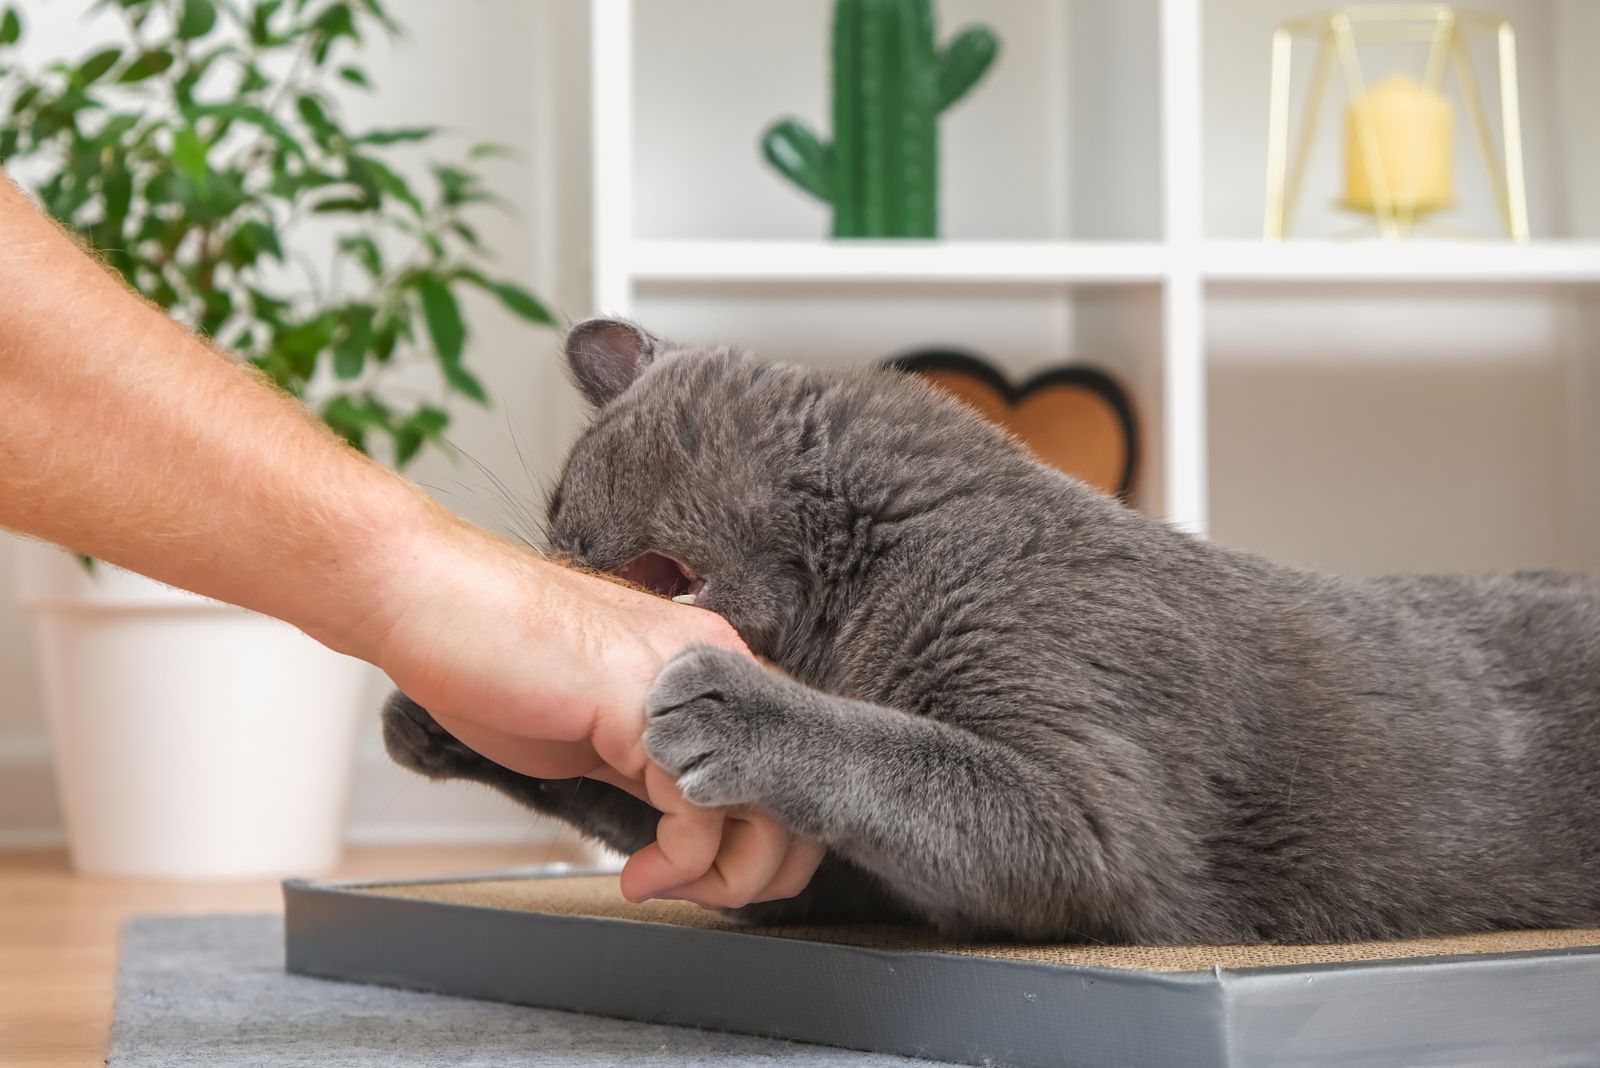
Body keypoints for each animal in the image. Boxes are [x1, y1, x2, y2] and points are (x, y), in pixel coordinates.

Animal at [384, 316, 1600, 940]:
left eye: (561, 511)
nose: (543, 568)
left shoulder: (1088, 810)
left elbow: (909, 756)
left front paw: (736, 708)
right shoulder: (831, 881)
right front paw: (438, 720)